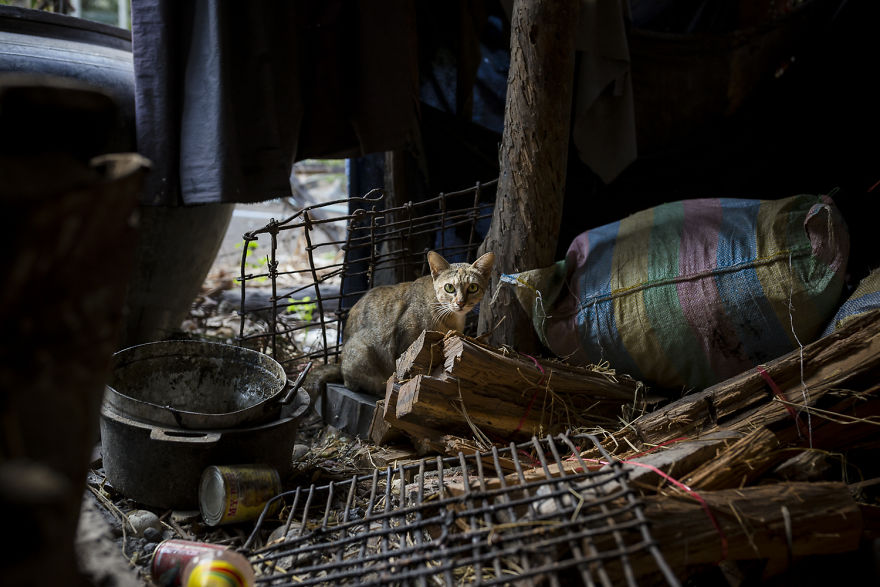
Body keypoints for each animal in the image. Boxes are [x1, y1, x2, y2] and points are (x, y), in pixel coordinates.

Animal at [338, 250, 496, 398]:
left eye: (473, 287)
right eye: (449, 287)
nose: (460, 303)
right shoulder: (406, 343)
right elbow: (406, 370)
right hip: (361, 351)